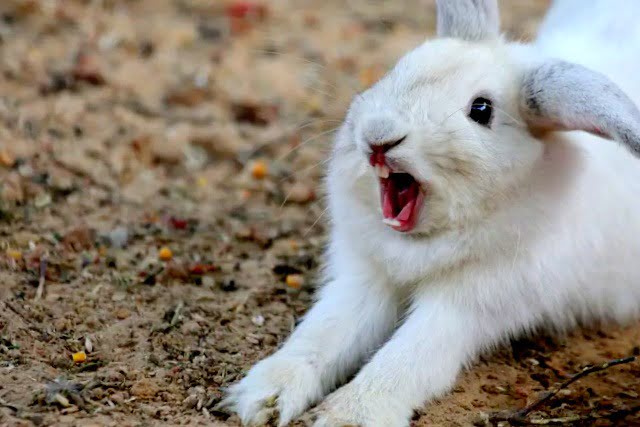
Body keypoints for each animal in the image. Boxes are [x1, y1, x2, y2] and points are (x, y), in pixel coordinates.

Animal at [221, 1, 640, 426]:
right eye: (398, 68)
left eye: (482, 109)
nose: (379, 135)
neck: (419, 244)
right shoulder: (363, 280)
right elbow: (325, 331)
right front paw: (264, 396)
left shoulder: (467, 305)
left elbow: (407, 357)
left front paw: (350, 415)